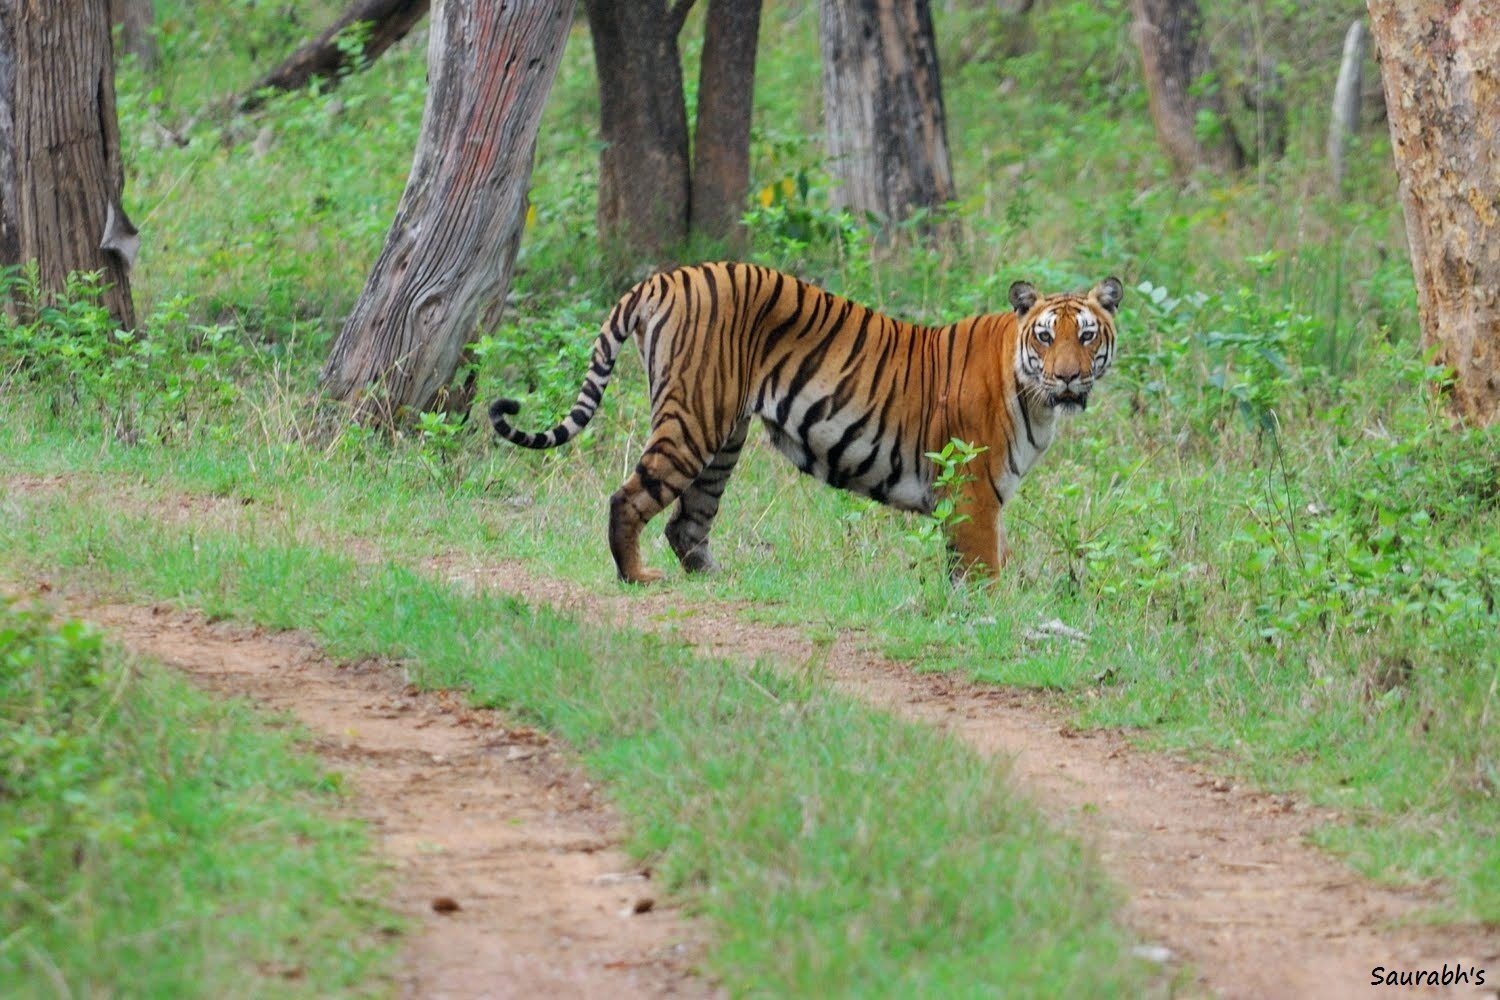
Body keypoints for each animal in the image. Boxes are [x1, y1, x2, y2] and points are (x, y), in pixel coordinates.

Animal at [495, 262, 1128, 581]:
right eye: (1044, 337)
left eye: (1085, 336)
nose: (1069, 378)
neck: (1033, 398)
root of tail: (666, 276)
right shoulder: (971, 491)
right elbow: (983, 569)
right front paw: (987, 615)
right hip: (693, 418)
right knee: (628, 498)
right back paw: (637, 577)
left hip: (723, 437)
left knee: (687, 522)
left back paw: (716, 577)